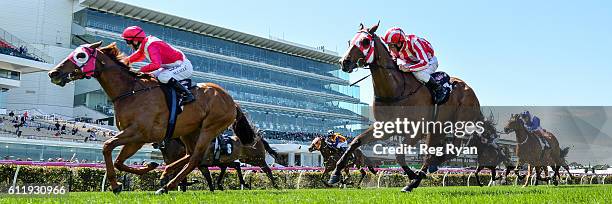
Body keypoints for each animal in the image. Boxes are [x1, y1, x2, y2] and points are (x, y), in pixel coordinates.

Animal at [47, 41, 258, 194]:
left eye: (80, 55)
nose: (53, 73)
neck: (130, 91)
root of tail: (231, 100)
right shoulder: (136, 138)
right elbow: (118, 160)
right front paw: (148, 167)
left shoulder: (138, 133)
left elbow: (107, 147)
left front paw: (116, 185)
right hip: (189, 131)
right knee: (190, 155)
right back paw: (165, 174)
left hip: (210, 128)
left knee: (195, 158)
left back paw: (167, 186)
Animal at [330, 23, 482, 192]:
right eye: (350, 41)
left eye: (365, 41)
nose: (344, 62)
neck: (395, 89)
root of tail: (469, 89)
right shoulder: (385, 128)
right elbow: (355, 142)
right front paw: (335, 173)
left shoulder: (416, 130)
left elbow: (399, 154)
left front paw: (412, 176)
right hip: (437, 129)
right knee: (438, 151)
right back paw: (425, 172)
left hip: (457, 126)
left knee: (448, 150)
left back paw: (419, 177)